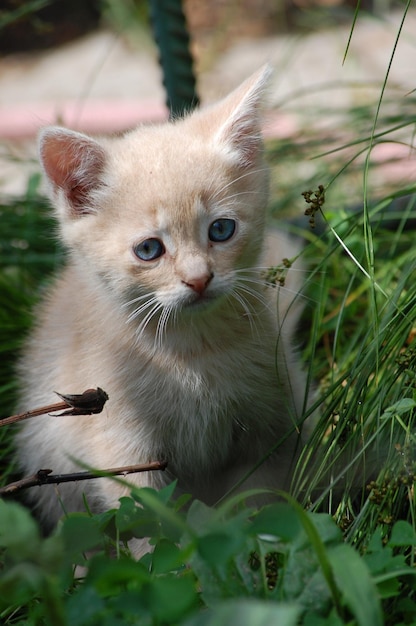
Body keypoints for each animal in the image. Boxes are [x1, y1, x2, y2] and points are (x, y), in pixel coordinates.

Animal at [16, 66, 308, 548]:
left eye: (221, 230)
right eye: (150, 249)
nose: (199, 278)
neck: (193, 353)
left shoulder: (275, 424)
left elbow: (259, 501)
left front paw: (260, 547)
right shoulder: (121, 446)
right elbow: (147, 524)